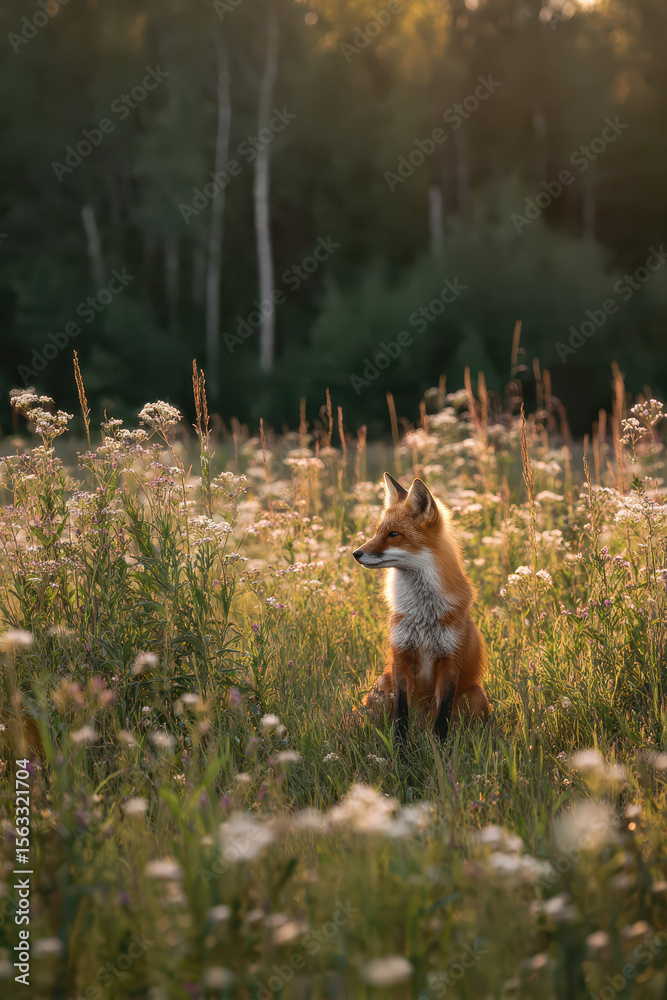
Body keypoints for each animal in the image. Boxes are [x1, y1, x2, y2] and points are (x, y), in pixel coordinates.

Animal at [353, 473, 490, 742]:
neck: (423, 613)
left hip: (476, 695)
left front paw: (440, 748)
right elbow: (401, 715)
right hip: (380, 687)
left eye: (393, 534)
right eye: (378, 532)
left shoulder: (450, 659)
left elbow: (442, 718)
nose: (356, 553)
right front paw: (401, 748)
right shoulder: (402, 655)